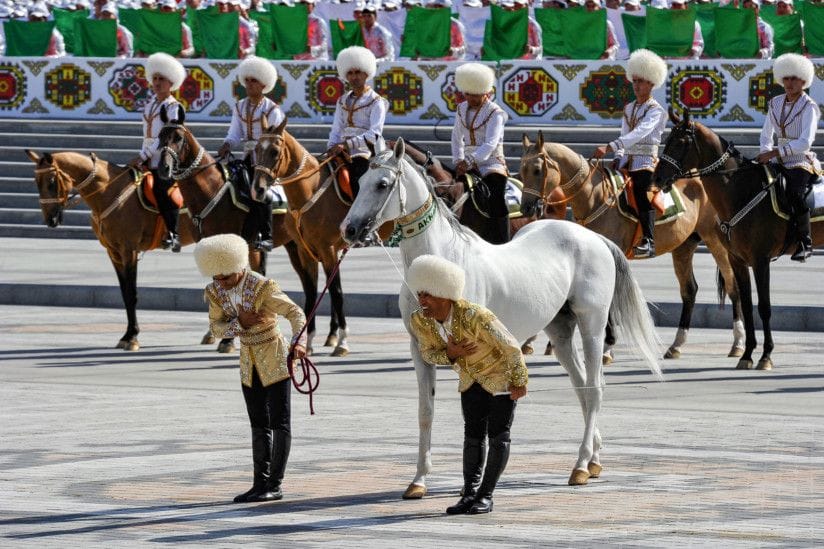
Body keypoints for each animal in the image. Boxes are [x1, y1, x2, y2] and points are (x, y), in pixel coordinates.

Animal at [24, 148, 250, 352]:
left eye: (51, 181)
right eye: (36, 181)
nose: (51, 219)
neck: (109, 192)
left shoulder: (128, 250)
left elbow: (132, 293)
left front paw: (132, 337)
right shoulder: (113, 253)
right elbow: (125, 293)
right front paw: (127, 334)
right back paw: (212, 334)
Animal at [341, 138, 663, 497]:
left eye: (382, 184)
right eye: (359, 182)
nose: (350, 229)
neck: (438, 267)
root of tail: (593, 238)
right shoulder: (420, 350)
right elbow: (426, 411)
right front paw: (419, 480)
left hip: (591, 325)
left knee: (594, 389)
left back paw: (580, 466)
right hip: (560, 331)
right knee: (582, 387)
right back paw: (593, 460)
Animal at [519, 131, 746, 361]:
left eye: (537, 170)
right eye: (521, 170)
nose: (527, 208)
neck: (594, 196)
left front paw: (607, 347)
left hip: (714, 240)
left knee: (732, 285)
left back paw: (738, 343)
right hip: (684, 246)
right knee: (689, 290)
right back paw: (676, 344)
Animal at [652, 110, 823, 370]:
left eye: (680, 142)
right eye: (667, 139)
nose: (658, 177)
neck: (740, 190)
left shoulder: (761, 260)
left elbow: (764, 307)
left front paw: (766, 355)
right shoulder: (738, 260)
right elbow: (747, 303)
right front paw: (747, 354)